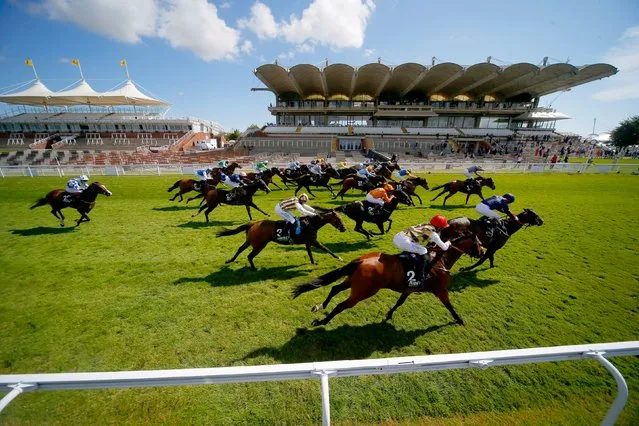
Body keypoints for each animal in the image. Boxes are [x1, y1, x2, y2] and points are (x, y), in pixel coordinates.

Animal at [218, 208, 348, 268]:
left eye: (341, 218)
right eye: (337, 219)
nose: (344, 229)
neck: (311, 223)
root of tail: (252, 224)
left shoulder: (308, 242)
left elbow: (310, 253)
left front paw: (313, 262)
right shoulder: (314, 241)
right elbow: (327, 249)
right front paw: (340, 258)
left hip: (250, 241)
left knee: (240, 249)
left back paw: (230, 260)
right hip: (259, 245)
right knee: (250, 256)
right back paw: (254, 269)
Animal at [292, 233, 482, 326]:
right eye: (479, 243)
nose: (481, 253)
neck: (441, 260)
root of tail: (361, 260)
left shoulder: (409, 289)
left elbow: (399, 302)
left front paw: (389, 315)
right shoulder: (441, 290)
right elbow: (450, 306)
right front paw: (459, 319)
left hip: (352, 281)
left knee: (334, 289)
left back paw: (320, 307)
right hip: (363, 292)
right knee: (341, 305)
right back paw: (322, 322)